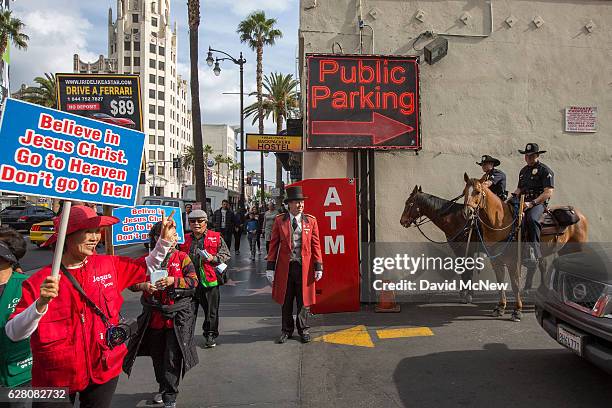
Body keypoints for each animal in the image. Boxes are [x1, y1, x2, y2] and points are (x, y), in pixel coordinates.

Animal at [464, 172, 588, 318]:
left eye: (477, 192)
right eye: (464, 192)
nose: (467, 212)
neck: (501, 223)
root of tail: (579, 215)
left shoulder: (513, 262)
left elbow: (515, 284)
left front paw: (517, 310)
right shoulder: (496, 261)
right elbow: (500, 283)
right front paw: (500, 307)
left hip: (578, 248)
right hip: (564, 250)